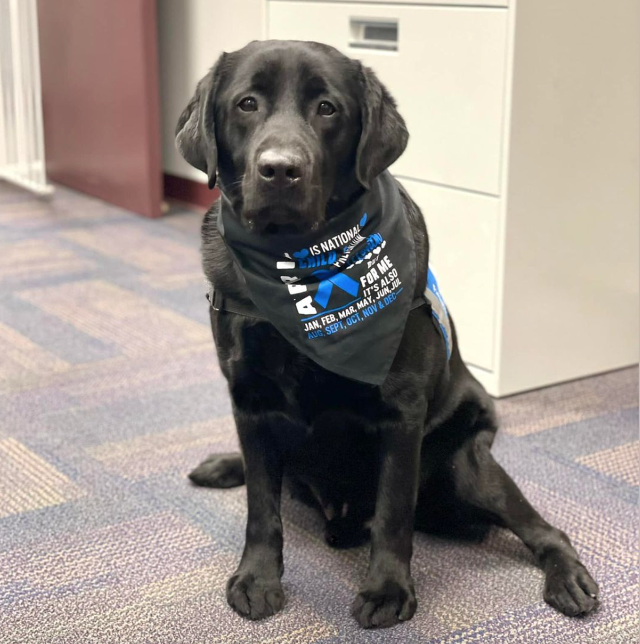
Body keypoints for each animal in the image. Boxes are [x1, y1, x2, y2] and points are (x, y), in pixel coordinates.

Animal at [172, 40, 596, 628]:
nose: (280, 169)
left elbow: (394, 509)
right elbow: (262, 505)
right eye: (246, 103)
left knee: (544, 529)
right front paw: (256, 579)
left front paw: (388, 590)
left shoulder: (401, 411)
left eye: (328, 109)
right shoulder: (250, 400)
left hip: (466, 465)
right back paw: (224, 463)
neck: (300, 261)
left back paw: (569, 579)